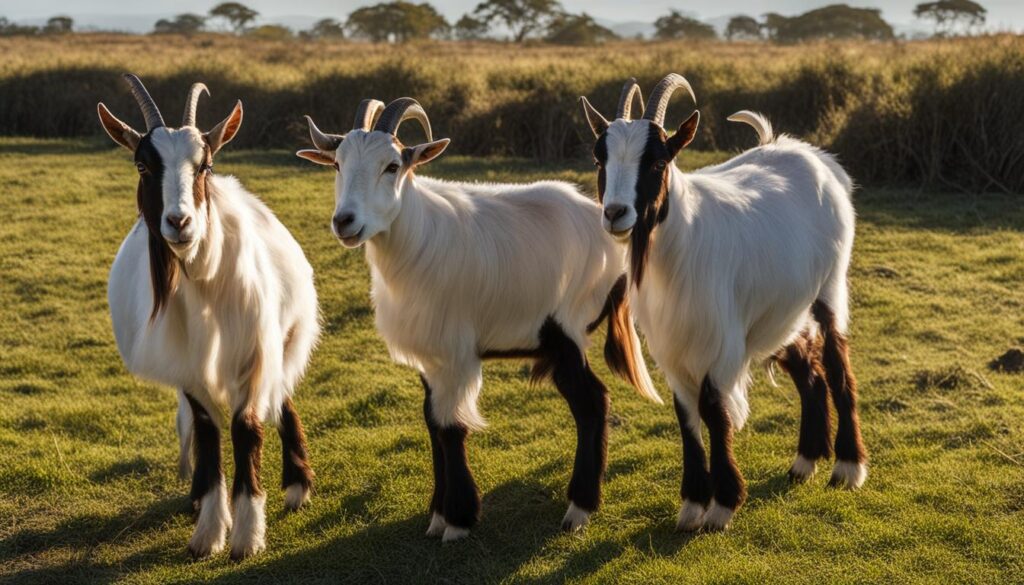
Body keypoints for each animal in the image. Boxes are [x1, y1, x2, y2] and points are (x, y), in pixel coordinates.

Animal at [98, 74, 320, 559]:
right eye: (142, 166)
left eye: (206, 165)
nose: (179, 222)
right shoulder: (186, 365)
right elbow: (207, 431)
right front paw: (209, 533)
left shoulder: (254, 352)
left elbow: (246, 427)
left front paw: (247, 535)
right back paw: (200, 496)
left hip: (285, 340)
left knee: (282, 397)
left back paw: (297, 486)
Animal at [298, 97, 660, 541]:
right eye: (337, 164)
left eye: (392, 166)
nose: (345, 221)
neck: (419, 240)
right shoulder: (430, 357)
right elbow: (433, 423)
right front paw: (437, 516)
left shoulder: (456, 352)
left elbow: (452, 427)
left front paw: (457, 520)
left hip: (566, 330)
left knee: (592, 402)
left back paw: (579, 508)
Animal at [579, 76, 867, 531]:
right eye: (599, 158)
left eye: (657, 162)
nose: (615, 213)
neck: (681, 244)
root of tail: (817, 160)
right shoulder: (673, 348)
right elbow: (687, 418)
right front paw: (692, 505)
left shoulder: (719, 344)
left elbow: (714, 412)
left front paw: (721, 506)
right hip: (783, 310)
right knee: (810, 373)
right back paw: (805, 461)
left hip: (829, 290)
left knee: (838, 367)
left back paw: (847, 468)